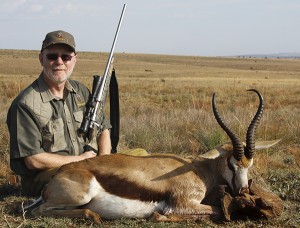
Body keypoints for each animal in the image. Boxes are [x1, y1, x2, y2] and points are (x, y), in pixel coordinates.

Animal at [28, 89, 278, 223]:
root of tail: (55, 178)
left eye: (250, 164)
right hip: (79, 196)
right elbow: (214, 211)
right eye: (232, 163)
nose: (243, 191)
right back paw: (92, 216)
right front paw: (158, 217)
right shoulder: (183, 204)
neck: (197, 170)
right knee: (40, 210)